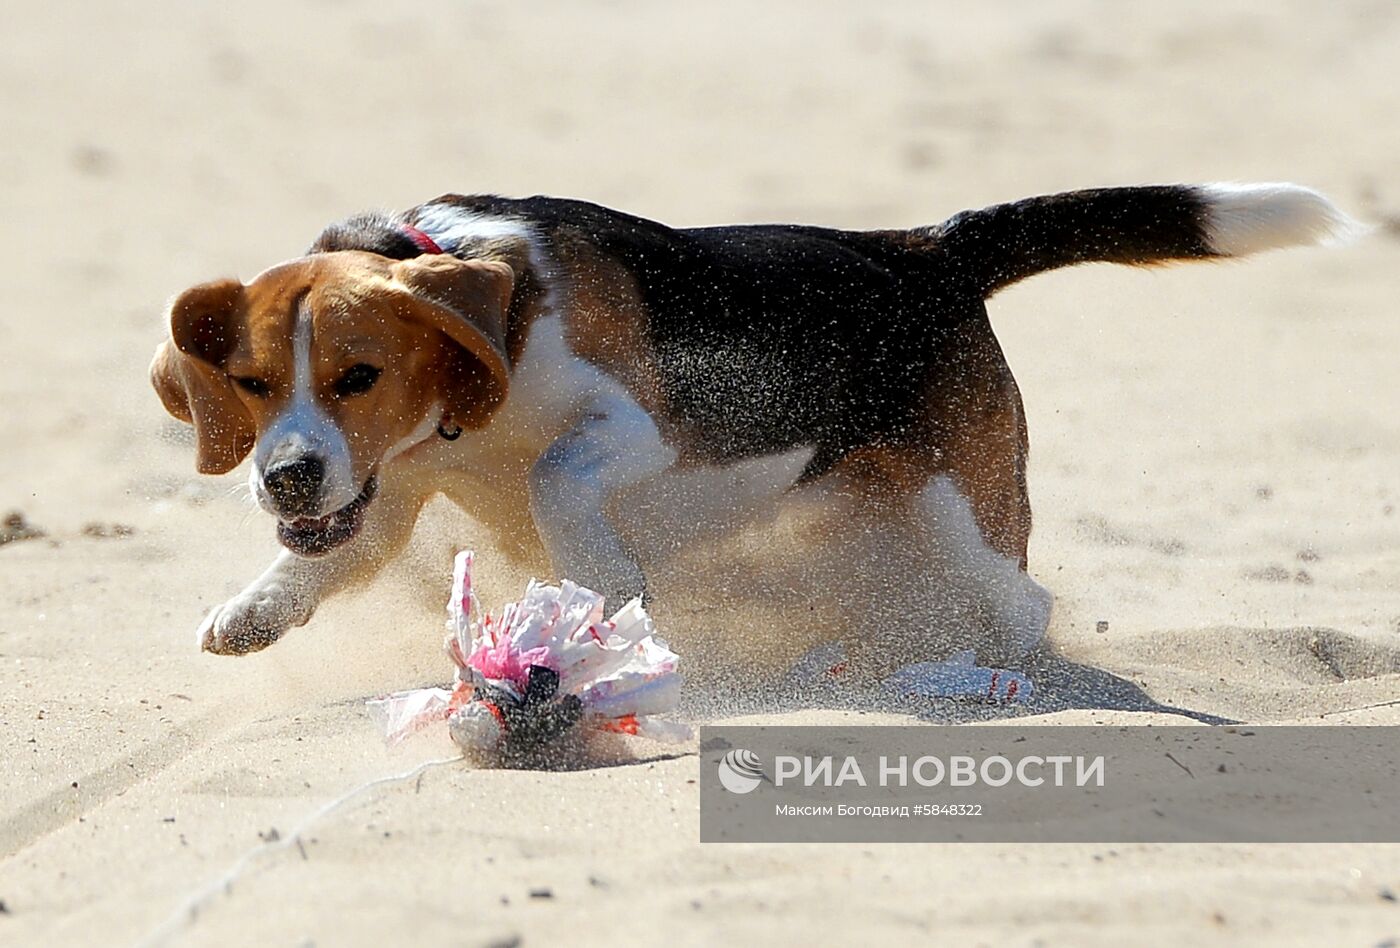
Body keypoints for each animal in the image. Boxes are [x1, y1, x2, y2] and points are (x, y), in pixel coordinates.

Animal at [156, 184, 1355, 660]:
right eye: (253, 385)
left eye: (358, 375)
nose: (284, 479)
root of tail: (923, 249)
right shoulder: (391, 488)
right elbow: (328, 557)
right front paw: (255, 609)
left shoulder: (637, 425)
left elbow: (557, 474)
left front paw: (604, 581)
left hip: (959, 511)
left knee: (1022, 599)